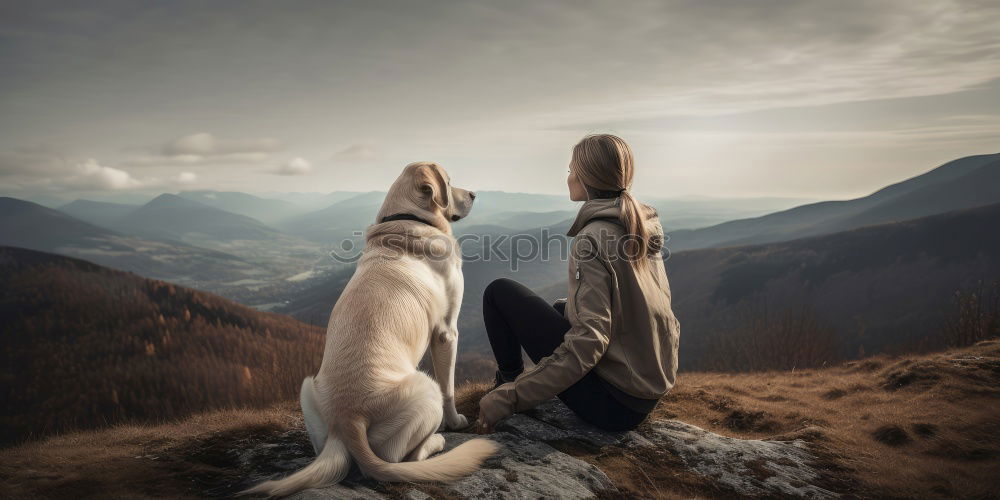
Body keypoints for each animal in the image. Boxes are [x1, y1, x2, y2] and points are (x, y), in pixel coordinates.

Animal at [246, 161, 496, 496]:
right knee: (405, 458)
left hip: (307, 387)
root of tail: (348, 422)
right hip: (424, 388)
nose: (473, 194)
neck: (407, 218)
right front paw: (455, 421)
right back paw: (437, 440)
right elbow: (449, 388)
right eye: (449, 181)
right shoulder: (447, 332)